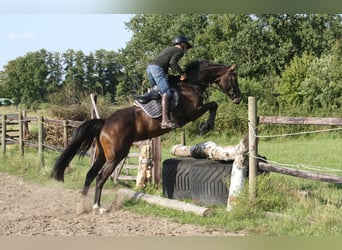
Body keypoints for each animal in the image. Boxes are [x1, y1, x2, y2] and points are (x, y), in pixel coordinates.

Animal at [52, 59, 242, 212]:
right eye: (234, 78)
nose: (238, 98)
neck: (191, 84)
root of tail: (104, 123)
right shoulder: (192, 113)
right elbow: (214, 104)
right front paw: (206, 126)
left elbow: (213, 104)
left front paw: (206, 126)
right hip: (115, 156)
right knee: (99, 178)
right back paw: (97, 207)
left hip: (101, 155)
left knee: (90, 175)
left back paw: (81, 207)